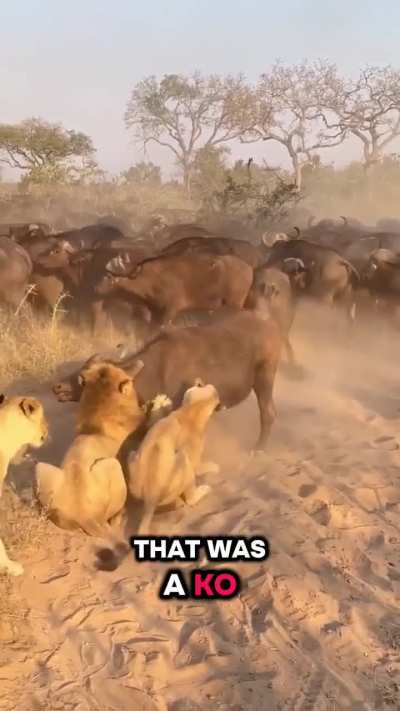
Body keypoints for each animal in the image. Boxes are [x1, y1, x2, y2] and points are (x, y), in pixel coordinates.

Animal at [127, 379, 221, 535]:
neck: (192, 411)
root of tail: (150, 499)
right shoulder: (195, 460)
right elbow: (202, 467)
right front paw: (214, 466)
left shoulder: (158, 422)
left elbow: (155, 417)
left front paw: (161, 401)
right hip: (184, 462)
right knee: (190, 499)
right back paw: (204, 490)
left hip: (132, 457)